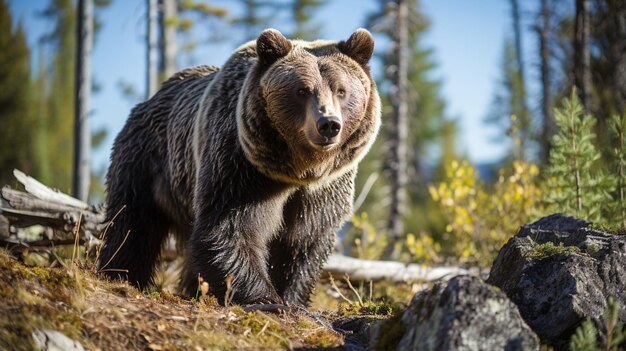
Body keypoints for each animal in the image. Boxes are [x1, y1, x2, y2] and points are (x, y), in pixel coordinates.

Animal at [98, 27, 380, 306]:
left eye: (341, 90)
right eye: (302, 90)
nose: (328, 124)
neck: (298, 169)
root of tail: (151, 99)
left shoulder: (324, 189)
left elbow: (303, 240)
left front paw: (291, 298)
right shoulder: (240, 166)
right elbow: (231, 228)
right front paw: (265, 299)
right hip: (147, 160)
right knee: (132, 223)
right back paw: (121, 274)